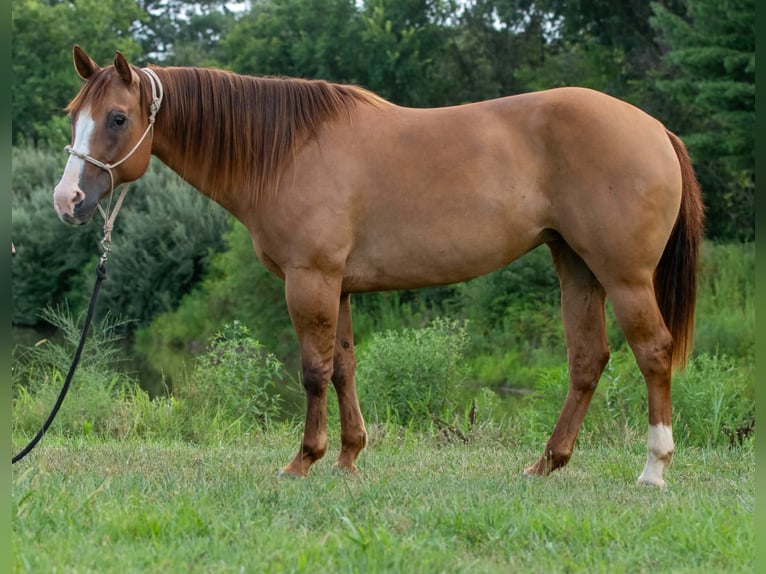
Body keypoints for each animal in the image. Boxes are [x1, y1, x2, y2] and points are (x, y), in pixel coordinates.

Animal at [53, 46, 703, 486]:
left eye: (117, 118)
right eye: (72, 115)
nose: (68, 200)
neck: (286, 151)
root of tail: (654, 128)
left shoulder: (310, 280)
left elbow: (313, 371)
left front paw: (302, 461)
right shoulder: (338, 287)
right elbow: (343, 368)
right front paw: (347, 457)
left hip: (623, 276)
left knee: (652, 353)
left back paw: (653, 469)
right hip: (576, 267)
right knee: (588, 360)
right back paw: (546, 464)